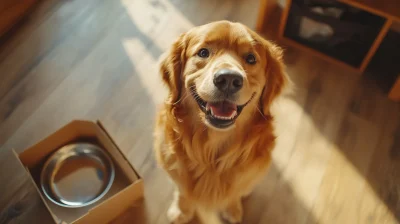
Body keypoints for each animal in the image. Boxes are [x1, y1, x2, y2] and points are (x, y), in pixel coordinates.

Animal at [152, 20, 288, 223]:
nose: (229, 79)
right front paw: (181, 211)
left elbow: (234, 194)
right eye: (203, 52)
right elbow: (183, 192)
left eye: (250, 58)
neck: (211, 151)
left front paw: (232, 210)